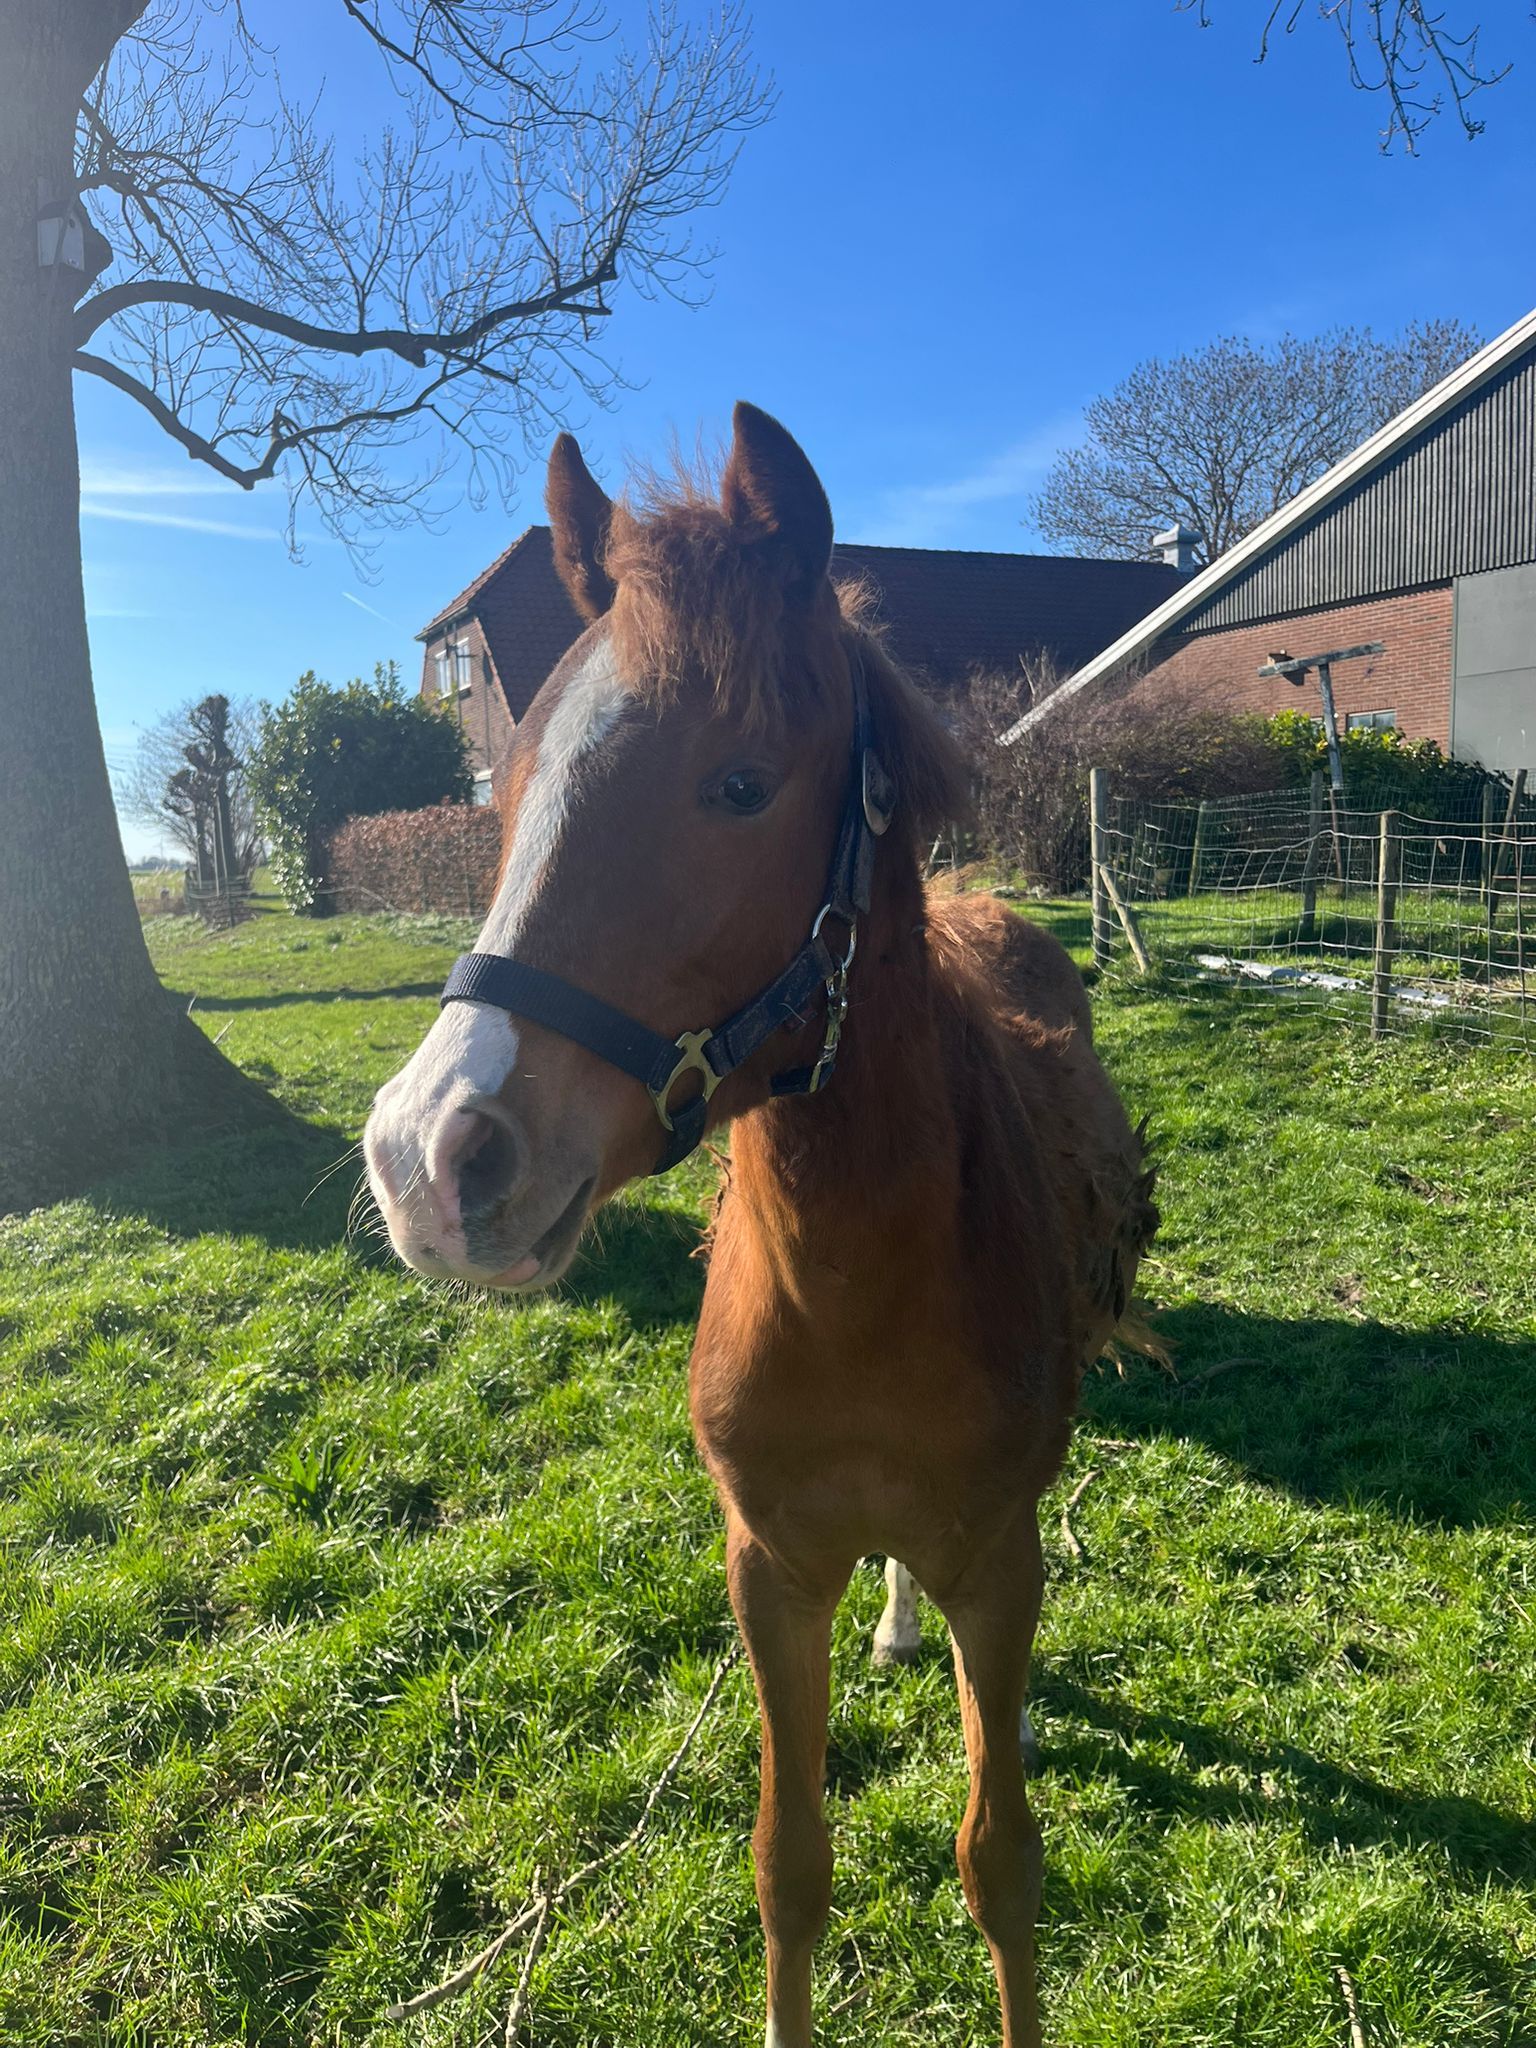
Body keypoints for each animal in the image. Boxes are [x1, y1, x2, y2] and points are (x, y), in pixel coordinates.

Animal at [362, 403, 1157, 2047]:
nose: (429, 1156)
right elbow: (789, 1862)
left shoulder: (1000, 1563)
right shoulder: (770, 1568)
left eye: (740, 786)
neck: (859, 1288)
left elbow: (1004, 1865)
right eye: (513, 782)